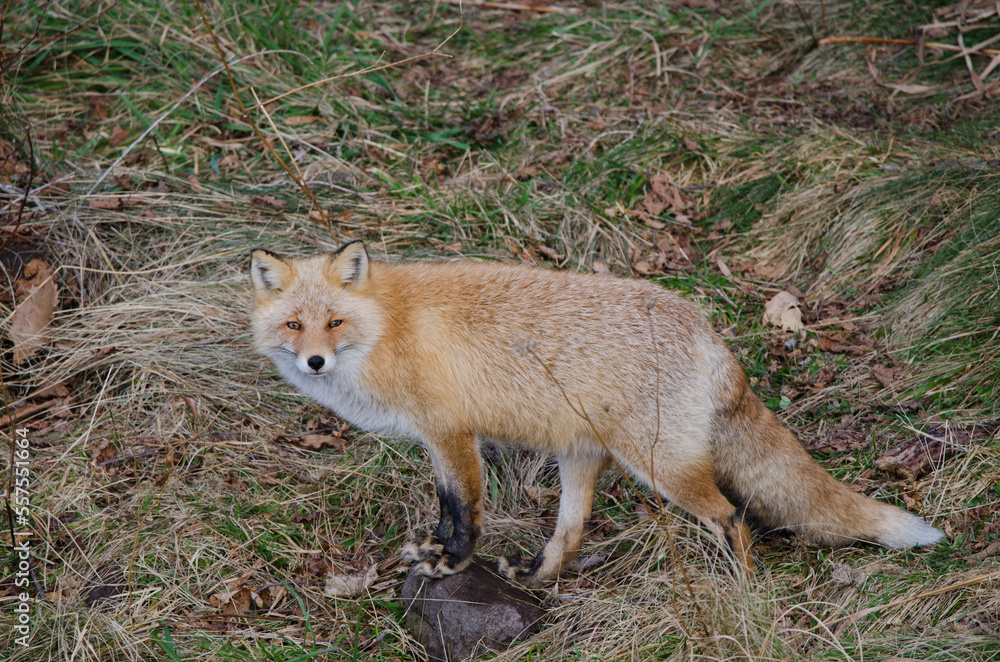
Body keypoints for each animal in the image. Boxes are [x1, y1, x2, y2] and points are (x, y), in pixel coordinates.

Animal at [249, 240, 942, 587]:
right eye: (294, 325)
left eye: (335, 323)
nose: (314, 362)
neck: (387, 329)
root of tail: (710, 335)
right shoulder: (438, 439)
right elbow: (451, 506)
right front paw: (440, 553)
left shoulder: (451, 434)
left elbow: (464, 511)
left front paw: (452, 562)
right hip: (582, 456)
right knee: (572, 532)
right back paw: (537, 577)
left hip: (660, 465)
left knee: (732, 516)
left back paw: (740, 592)